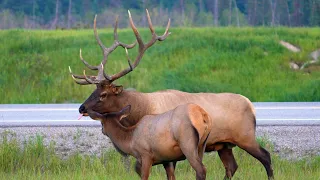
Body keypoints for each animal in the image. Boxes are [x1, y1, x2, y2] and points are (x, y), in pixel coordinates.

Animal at [70, 9, 276, 180]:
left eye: (104, 94)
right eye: (94, 90)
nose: (81, 108)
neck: (139, 112)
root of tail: (252, 106)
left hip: (245, 136)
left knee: (266, 157)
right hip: (224, 144)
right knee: (232, 167)